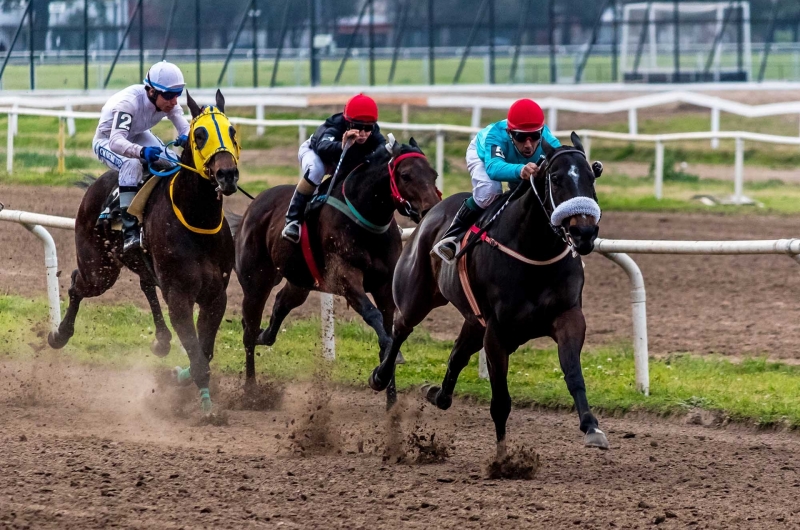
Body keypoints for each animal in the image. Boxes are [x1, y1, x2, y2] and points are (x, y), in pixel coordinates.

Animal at [47, 91, 239, 412]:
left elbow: (205, 351)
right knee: (77, 283)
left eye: (232, 131)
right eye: (200, 135)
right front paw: (207, 407)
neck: (197, 221)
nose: (227, 174)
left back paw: (161, 340)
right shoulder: (179, 295)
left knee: (146, 284)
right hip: (100, 271)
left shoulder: (216, 295)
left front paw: (181, 377)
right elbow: (198, 357)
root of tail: (97, 183)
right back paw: (59, 335)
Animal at [234, 139, 440, 404]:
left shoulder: (385, 286)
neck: (365, 219)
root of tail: (254, 204)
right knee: (249, 330)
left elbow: (389, 332)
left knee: (279, 305)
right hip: (255, 282)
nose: (431, 210)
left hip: (300, 281)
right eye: (405, 175)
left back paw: (264, 335)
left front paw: (391, 399)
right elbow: (371, 314)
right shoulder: (346, 276)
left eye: (434, 174)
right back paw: (251, 390)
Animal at [368, 133, 608, 458]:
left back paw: (436, 393)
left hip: (473, 321)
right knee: (399, 331)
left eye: (591, 177)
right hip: (415, 298)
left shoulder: (568, 316)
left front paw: (591, 427)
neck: (535, 252)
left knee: (456, 356)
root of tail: (432, 211)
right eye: (556, 179)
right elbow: (501, 402)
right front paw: (503, 460)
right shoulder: (497, 331)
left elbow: (573, 373)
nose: (584, 232)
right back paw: (380, 376)